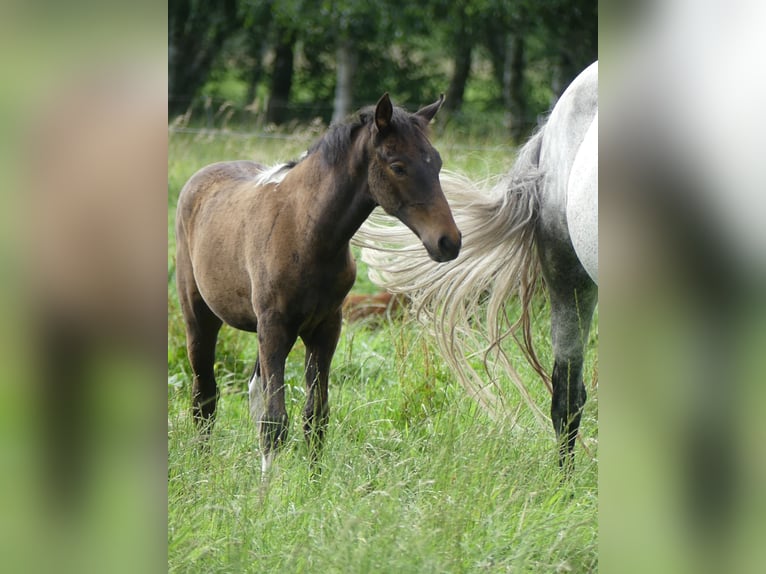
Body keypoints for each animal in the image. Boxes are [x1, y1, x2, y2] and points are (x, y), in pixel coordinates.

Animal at [176, 93, 462, 472]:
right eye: (398, 166)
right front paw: (267, 489)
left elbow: (316, 416)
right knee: (205, 395)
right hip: (200, 316)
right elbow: (275, 422)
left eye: (438, 162)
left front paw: (314, 481)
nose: (449, 242)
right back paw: (204, 464)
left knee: (252, 390)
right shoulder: (274, 327)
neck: (305, 230)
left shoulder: (326, 328)